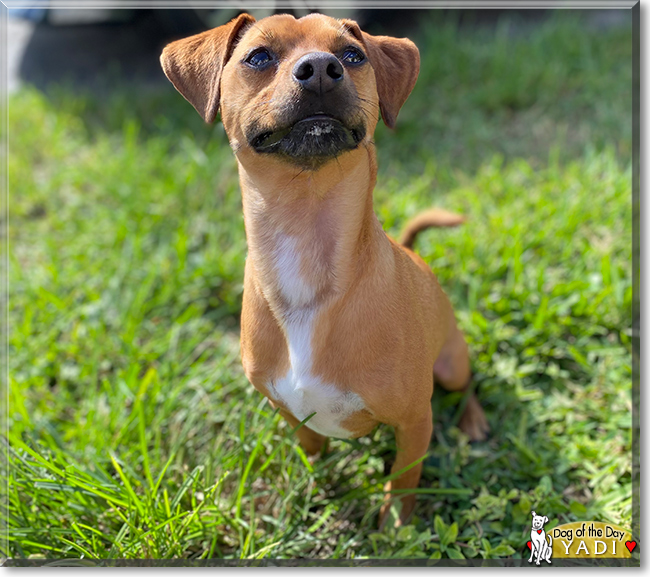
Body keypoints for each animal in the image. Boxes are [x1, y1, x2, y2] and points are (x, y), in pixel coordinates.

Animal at [161, 12, 486, 528]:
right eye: (258, 56)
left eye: (352, 55)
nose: (319, 68)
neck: (306, 235)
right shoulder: (287, 408)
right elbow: (312, 446)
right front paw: (316, 486)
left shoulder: (415, 420)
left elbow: (402, 481)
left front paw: (396, 527)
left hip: (452, 364)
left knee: (469, 384)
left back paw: (473, 421)